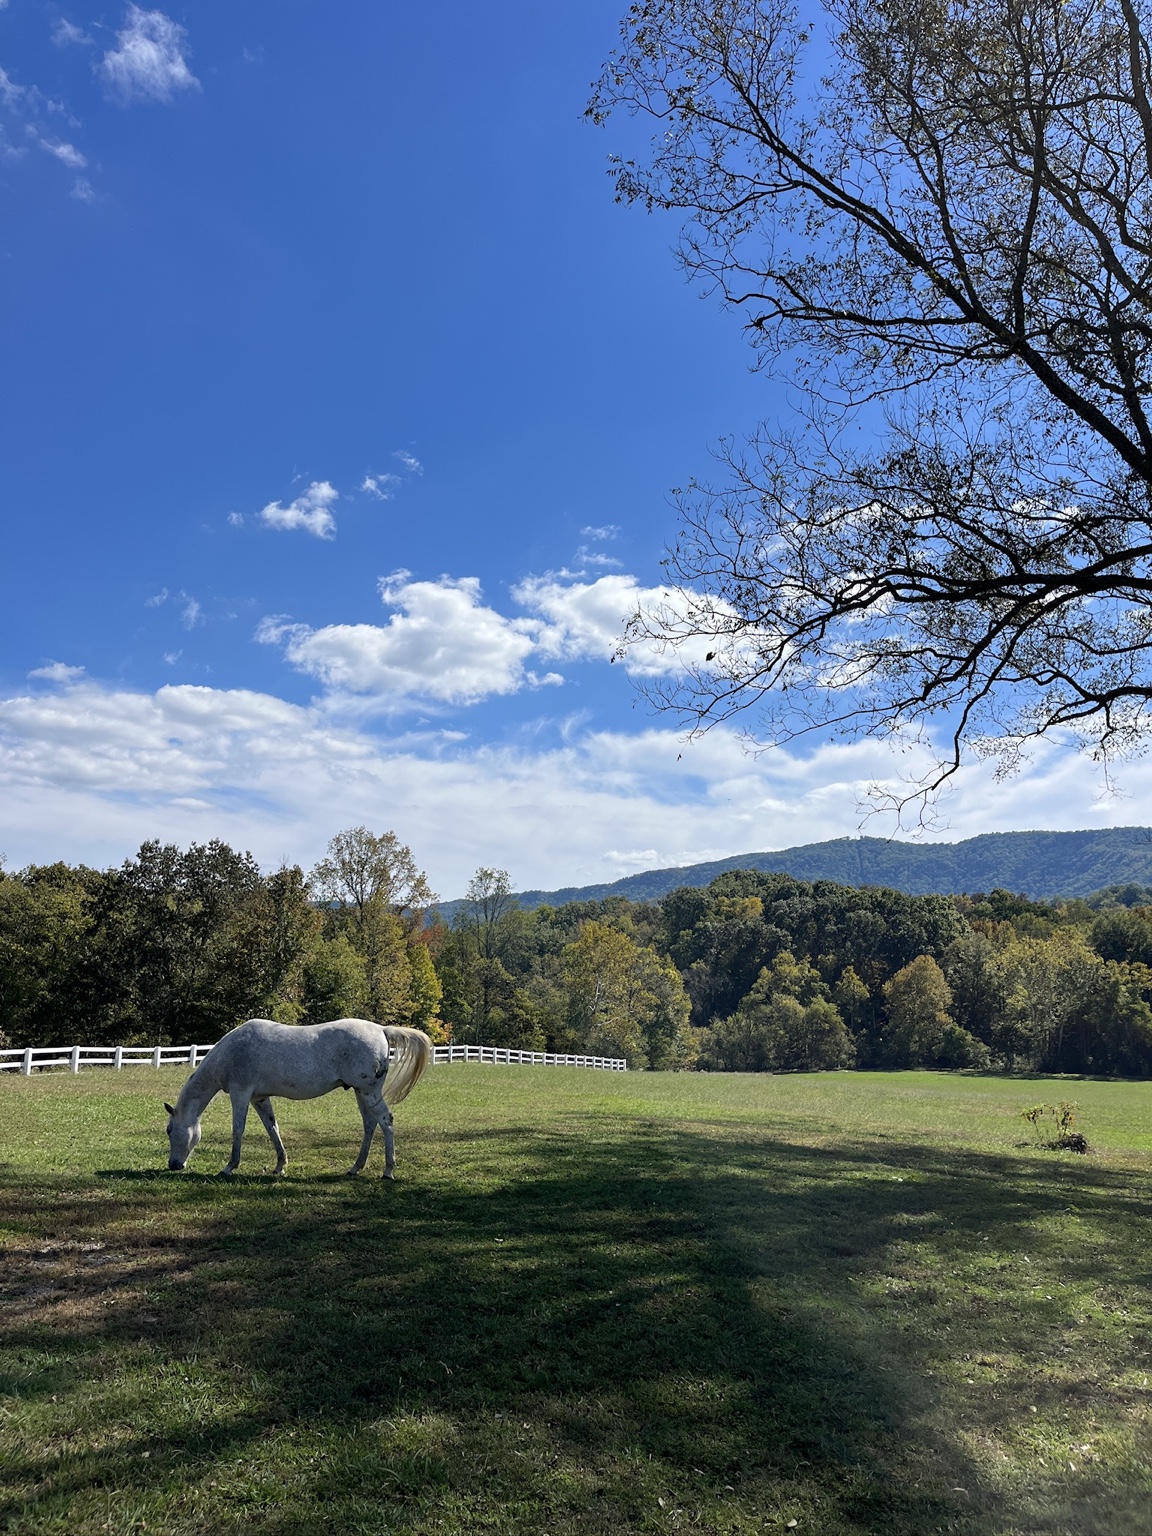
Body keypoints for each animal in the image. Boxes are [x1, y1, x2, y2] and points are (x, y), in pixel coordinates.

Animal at [164, 1018, 432, 1179]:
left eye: (169, 1130)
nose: (173, 1165)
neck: (233, 1052)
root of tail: (381, 1029)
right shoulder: (259, 1098)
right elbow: (272, 1128)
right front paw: (280, 1166)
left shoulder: (241, 1094)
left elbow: (238, 1129)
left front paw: (229, 1167)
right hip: (360, 1092)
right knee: (370, 1124)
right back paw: (355, 1168)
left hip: (368, 1092)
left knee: (386, 1121)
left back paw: (388, 1170)